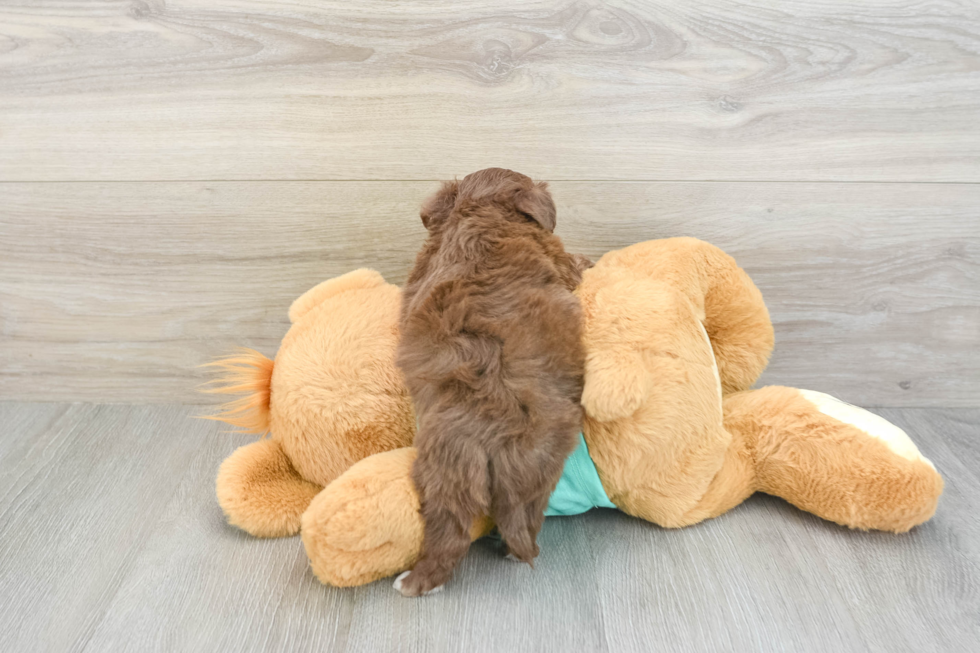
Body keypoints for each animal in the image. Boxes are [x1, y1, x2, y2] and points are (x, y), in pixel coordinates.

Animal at [392, 168, 588, 596]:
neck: (482, 213)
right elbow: (571, 262)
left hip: (446, 472)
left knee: (453, 529)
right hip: (542, 469)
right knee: (520, 522)